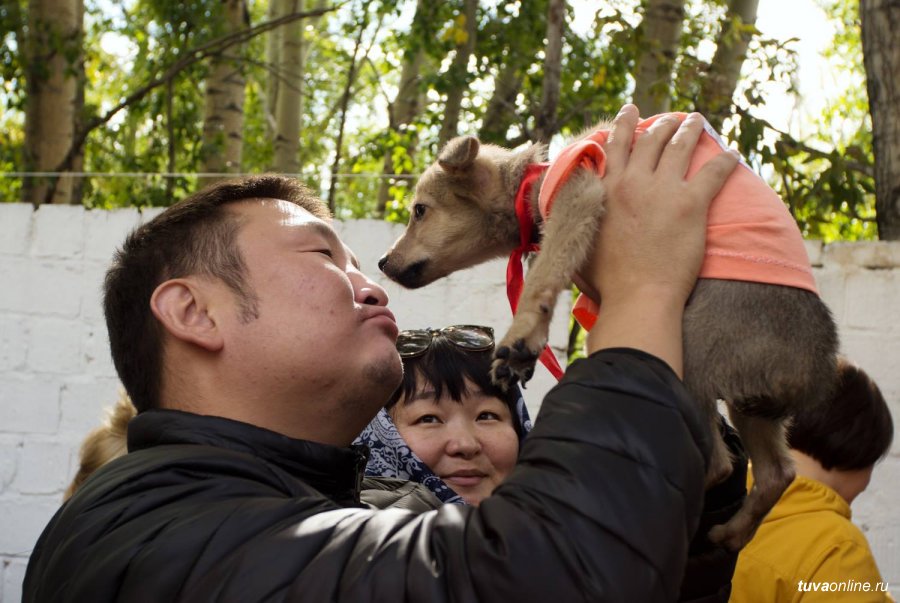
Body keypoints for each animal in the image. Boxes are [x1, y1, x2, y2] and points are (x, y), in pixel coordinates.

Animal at [378, 113, 836, 552]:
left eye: (420, 210)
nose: (382, 261)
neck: (533, 181)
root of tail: (816, 371)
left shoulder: (578, 198)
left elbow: (544, 274)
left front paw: (522, 336)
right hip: (750, 408)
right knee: (777, 473)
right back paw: (730, 534)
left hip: (691, 354)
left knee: (718, 463)